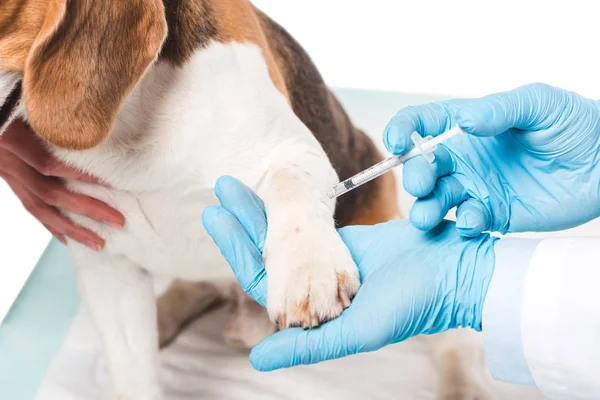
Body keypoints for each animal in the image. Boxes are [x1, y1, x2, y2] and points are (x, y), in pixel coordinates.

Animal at [0, 0, 492, 400]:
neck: (129, 117)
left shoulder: (292, 148)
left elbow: (289, 178)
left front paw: (306, 269)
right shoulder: (104, 262)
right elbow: (133, 374)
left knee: (455, 331)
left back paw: (463, 384)